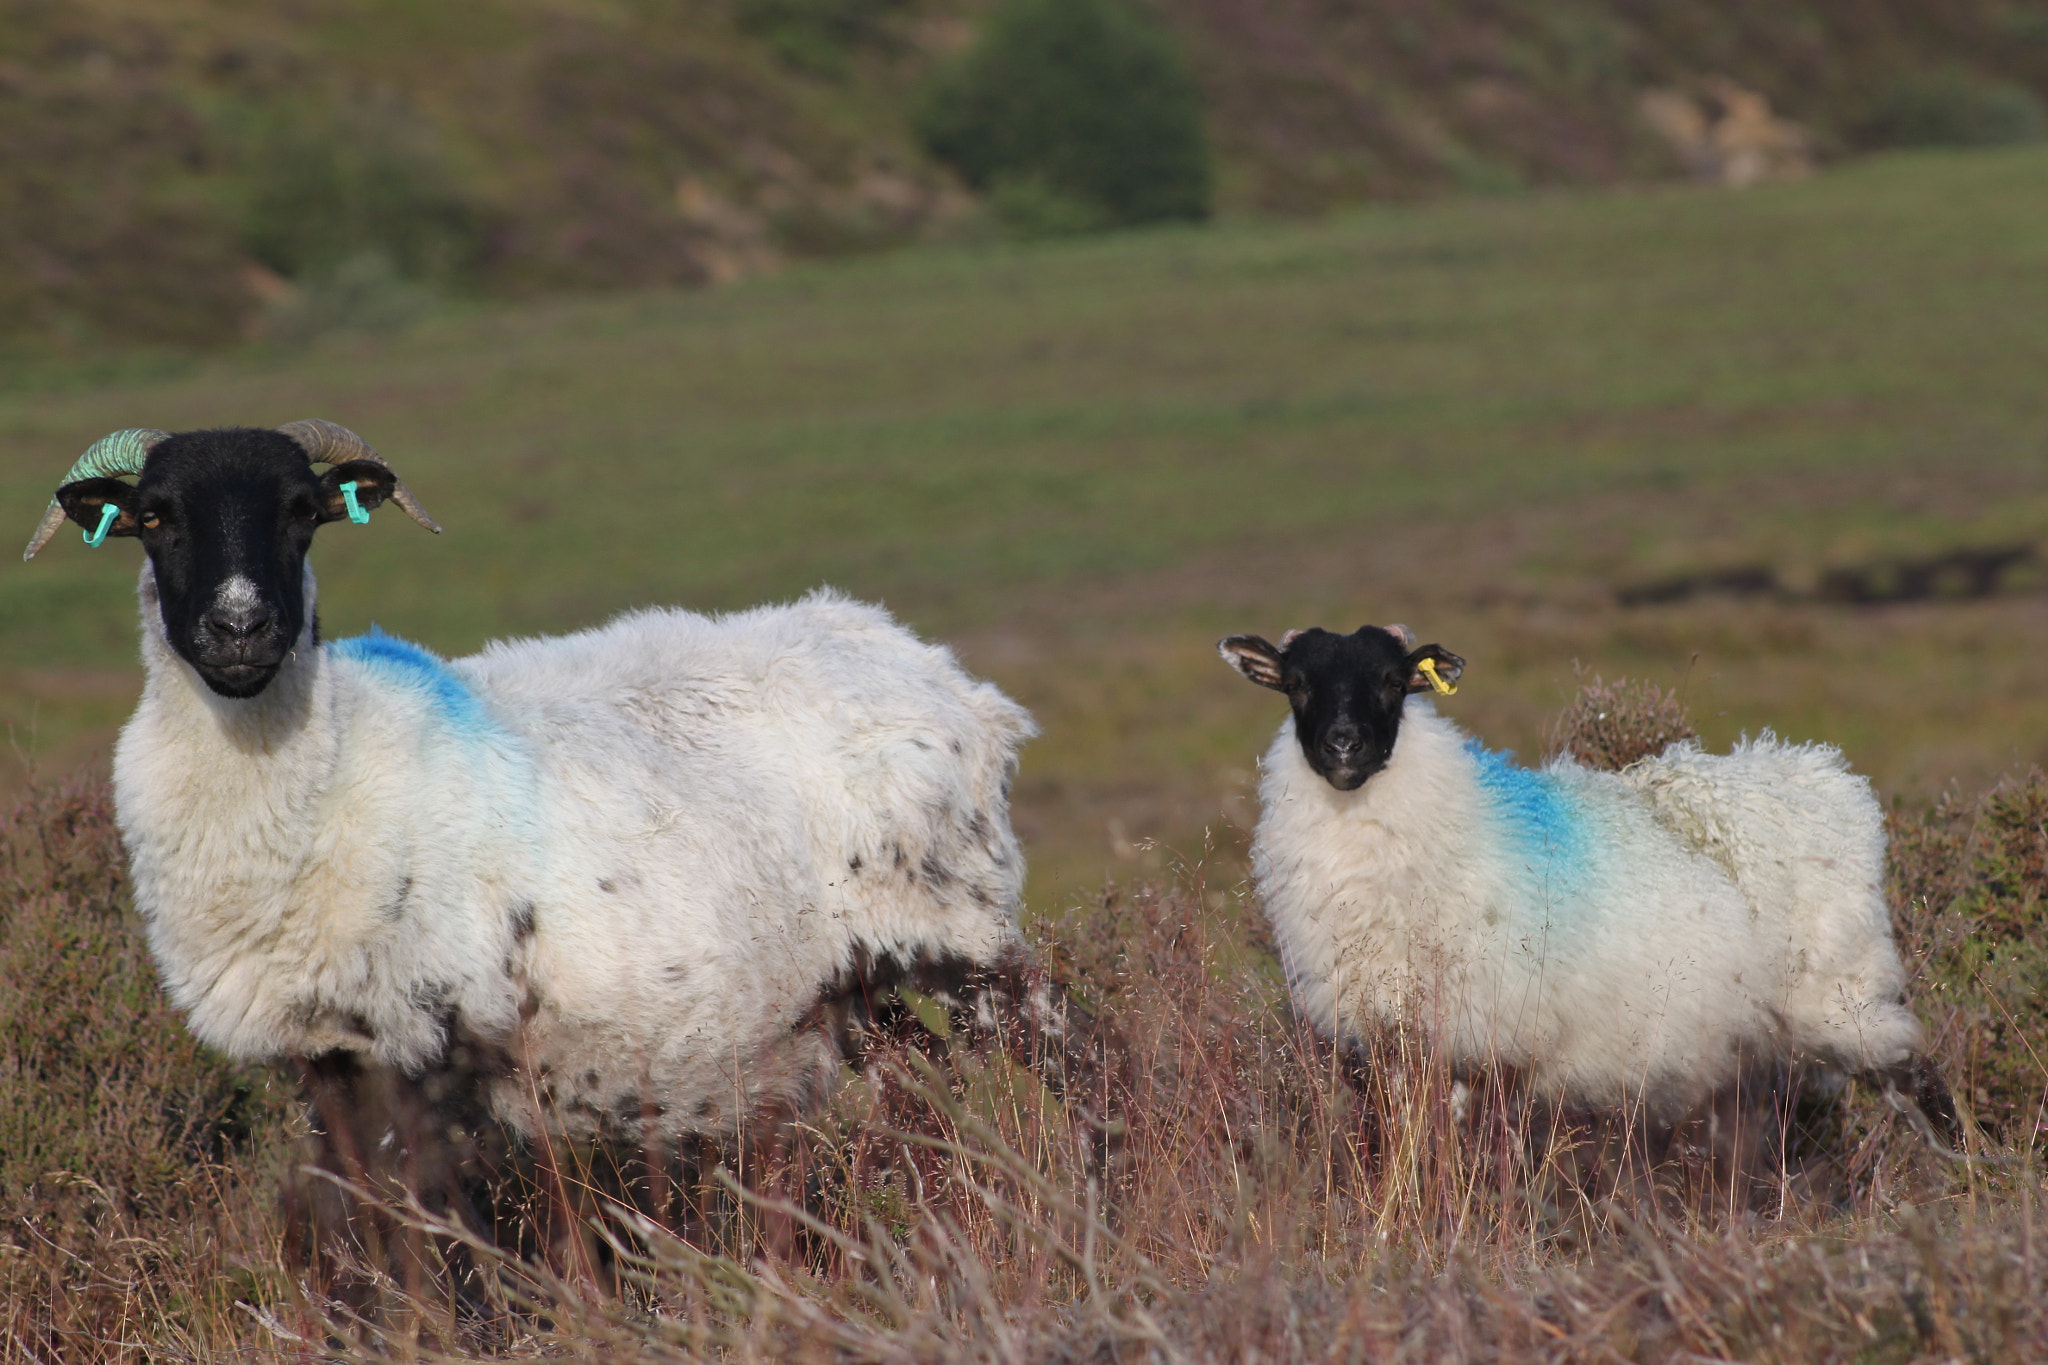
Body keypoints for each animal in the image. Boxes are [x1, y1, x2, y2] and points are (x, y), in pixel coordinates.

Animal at [26, 422, 1087, 1279]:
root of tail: (941, 671)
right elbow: (354, 1222)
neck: (329, 757)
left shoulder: (430, 1047)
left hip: (965, 930)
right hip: (851, 988)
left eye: (302, 513)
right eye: (153, 518)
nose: (241, 628)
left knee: (1073, 1057)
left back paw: (1090, 1206)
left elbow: (430, 1238)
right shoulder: (328, 1055)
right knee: (915, 1105)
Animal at [1218, 622, 1960, 1148]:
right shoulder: (1394, 1040)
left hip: (1842, 992)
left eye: (1394, 683)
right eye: (1296, 684)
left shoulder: (1491, 1038)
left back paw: (1958, 1169)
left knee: (1915, 1072)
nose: (1344, 746)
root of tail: (1812, 773)